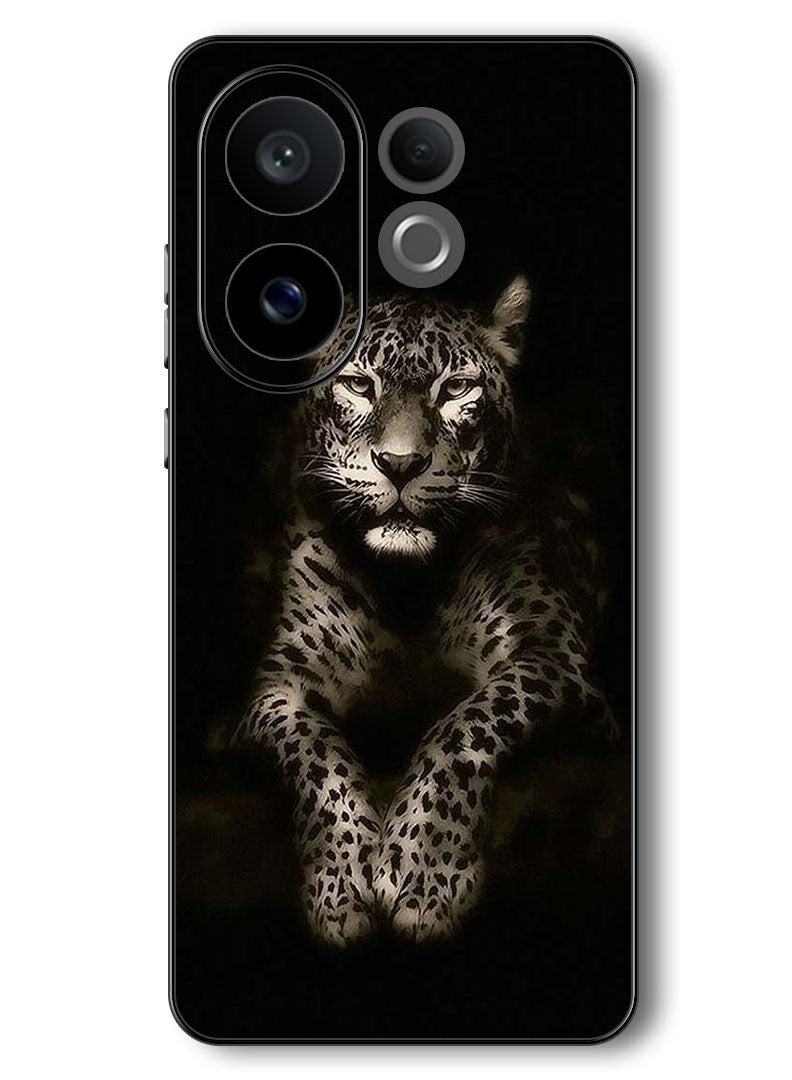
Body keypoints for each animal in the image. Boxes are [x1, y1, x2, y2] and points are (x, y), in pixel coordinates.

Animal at [232, 275, 618, 946]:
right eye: (360, 384)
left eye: (456, 388)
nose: (401, 464)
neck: (405, 588)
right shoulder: (277, 688)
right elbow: (315, 752)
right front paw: (341, 884)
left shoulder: (554, 657)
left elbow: (464, 726)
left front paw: (423, 873)